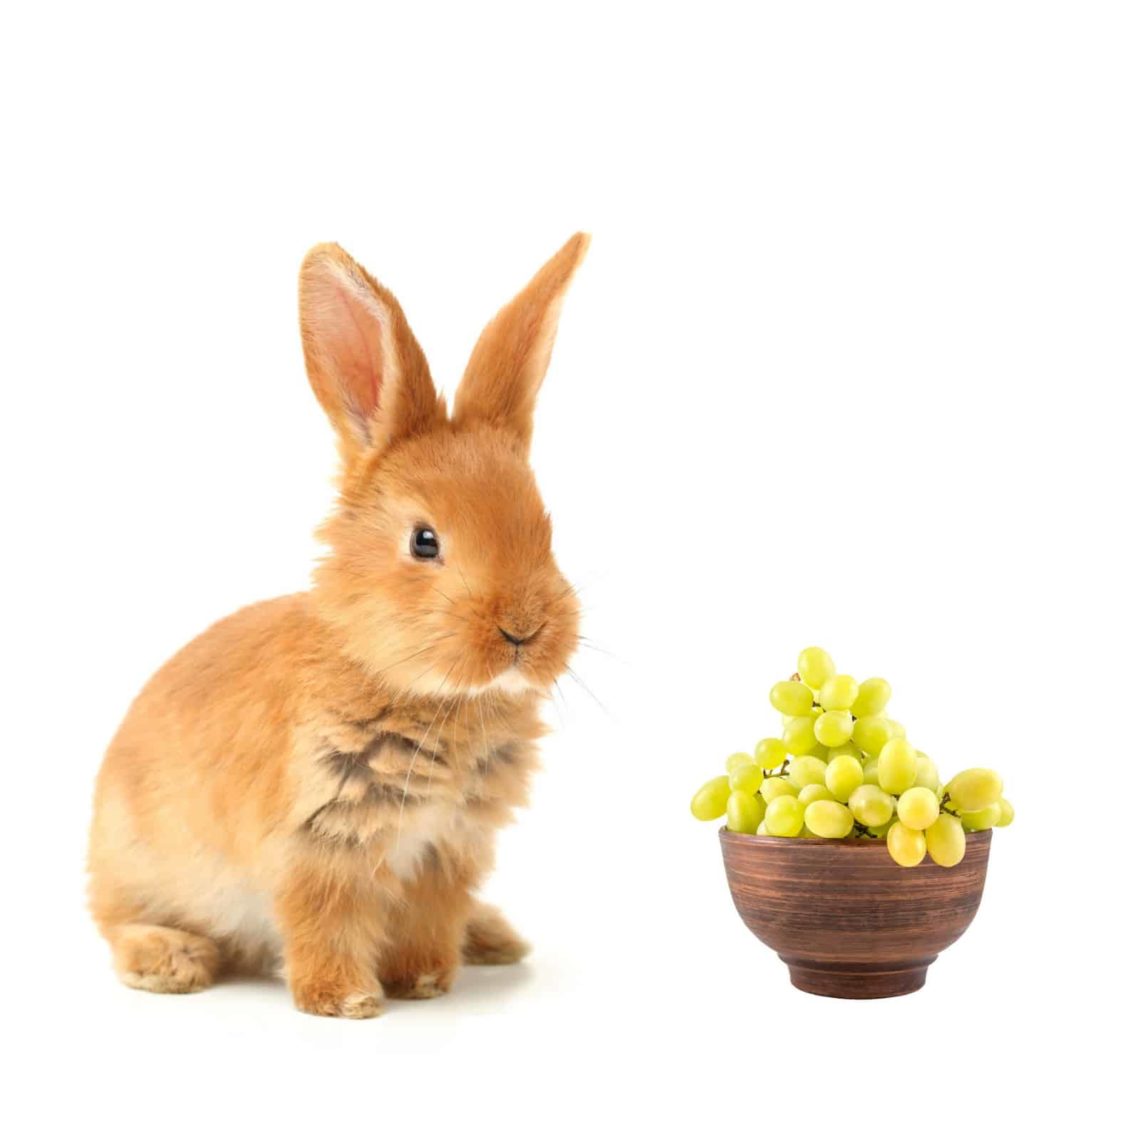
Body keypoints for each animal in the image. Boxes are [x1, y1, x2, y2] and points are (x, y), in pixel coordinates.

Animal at [87, 233, 590, 1017]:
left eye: (545, 529)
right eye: (424, 541)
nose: (524, 630)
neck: (423, 691)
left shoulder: (447, 850)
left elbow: (428, 921)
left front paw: (424, 981)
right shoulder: (320, 843)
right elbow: (326, 921)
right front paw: (346, 1000)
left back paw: (494, 937)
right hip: (139, 866)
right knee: (116, 923)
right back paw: (170, 960)